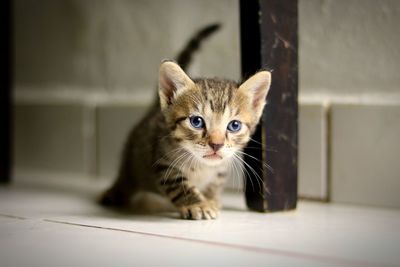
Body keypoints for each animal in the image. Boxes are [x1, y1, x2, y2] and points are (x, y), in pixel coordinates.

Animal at [99, 24, 272, 220]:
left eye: (234, 126)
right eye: (197, 121)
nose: (217, 144)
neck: (202, 167)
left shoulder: (221, 167)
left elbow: (214, 185)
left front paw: (211, 199)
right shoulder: (163, 162)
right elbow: (179, 185)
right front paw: (198, 204)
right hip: (131, 158)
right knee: (126, 177)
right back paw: (115, 192)